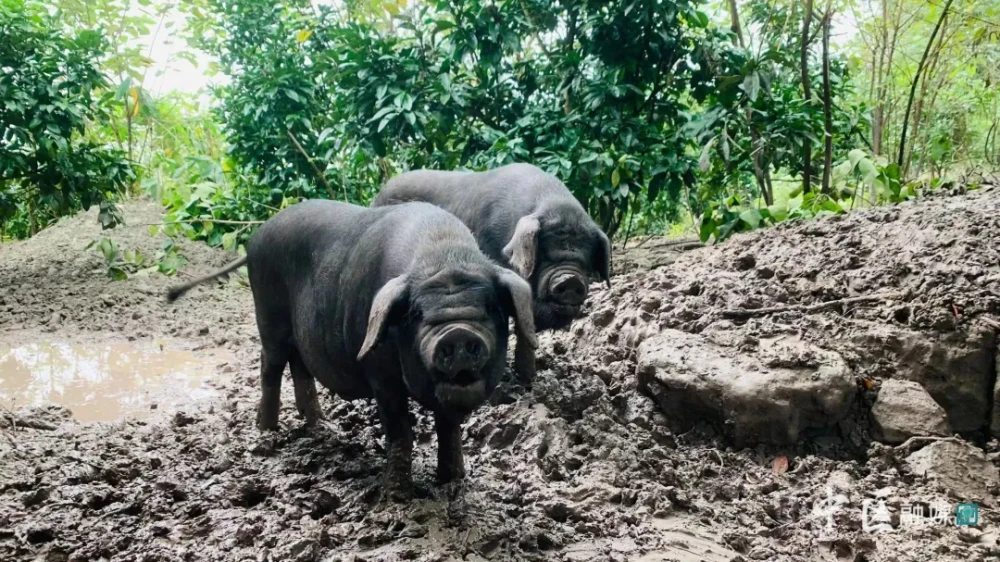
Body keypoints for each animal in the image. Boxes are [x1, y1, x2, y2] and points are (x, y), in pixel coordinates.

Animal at [166, 199, 540, 496]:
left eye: (491, 307)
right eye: (416, 314)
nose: (458, 333)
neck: (442, 256)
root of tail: (255, 239)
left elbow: (448, 428)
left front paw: (455, 481)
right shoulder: (380, 374)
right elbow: (400, 430)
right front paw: (396, 497)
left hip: (300, 334)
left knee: (300, 367)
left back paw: (321, 426)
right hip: (268, 315)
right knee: (269, 367)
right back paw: (267, 433)